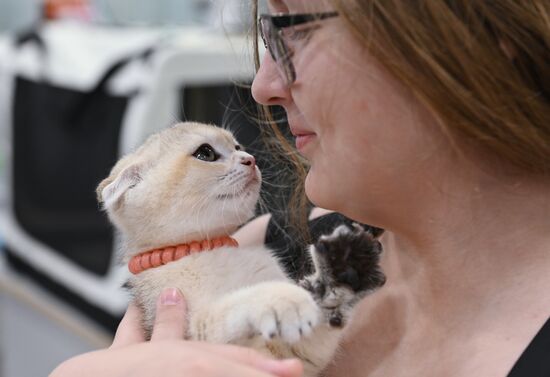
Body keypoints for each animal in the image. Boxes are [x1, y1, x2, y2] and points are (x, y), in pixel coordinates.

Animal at [98, 122, 384, 374]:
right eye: (205, 153)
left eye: (237, 146)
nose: (251, 159)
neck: (210, 248)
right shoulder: (197, 334)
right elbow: (233, 304)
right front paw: (281, 298)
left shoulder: (291, 355)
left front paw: (340, 271)